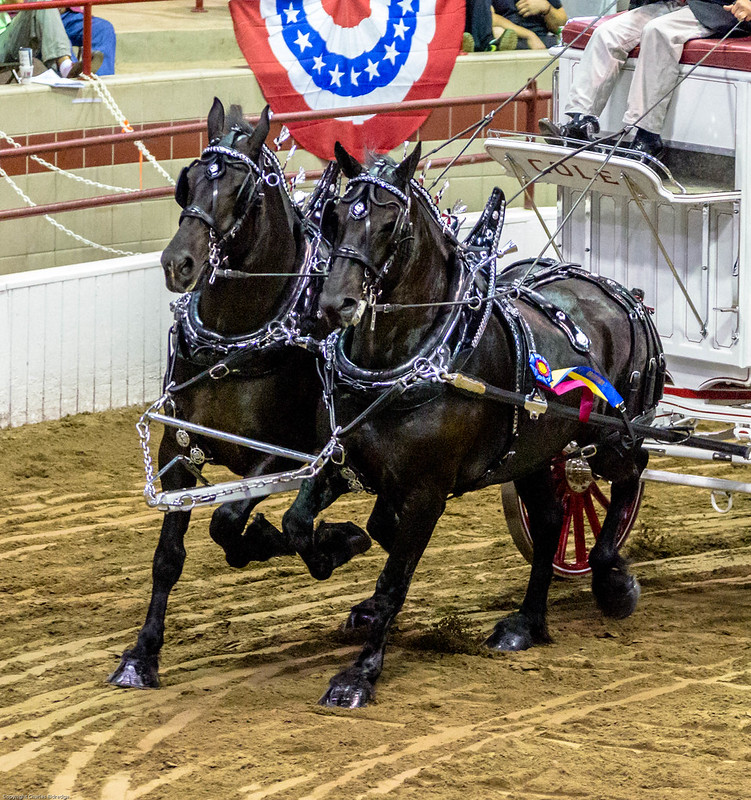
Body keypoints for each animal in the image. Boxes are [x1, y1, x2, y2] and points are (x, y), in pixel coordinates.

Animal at [107, 100, 369, 690]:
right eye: (187, 182)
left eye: (240, 190)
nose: (177, 263)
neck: (236, 340)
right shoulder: (179, 446)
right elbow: (168, 555)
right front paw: (141, 655)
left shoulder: (285, 456)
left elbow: (229, 521)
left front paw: (292, 542)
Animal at [284, 141, 664, 708]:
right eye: (335, 217)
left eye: (390, 223)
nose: (335, 304)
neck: (410, 361)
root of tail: (620, 292)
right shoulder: (345, 461)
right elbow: (304, 524)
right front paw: (340, 549)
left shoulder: (427, 491)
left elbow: (395, 577)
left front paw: (360, 674)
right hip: (533, 451)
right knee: (551, 517)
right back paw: (527, 622)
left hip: (611, 434)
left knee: (629, 474)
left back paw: (612, 581)